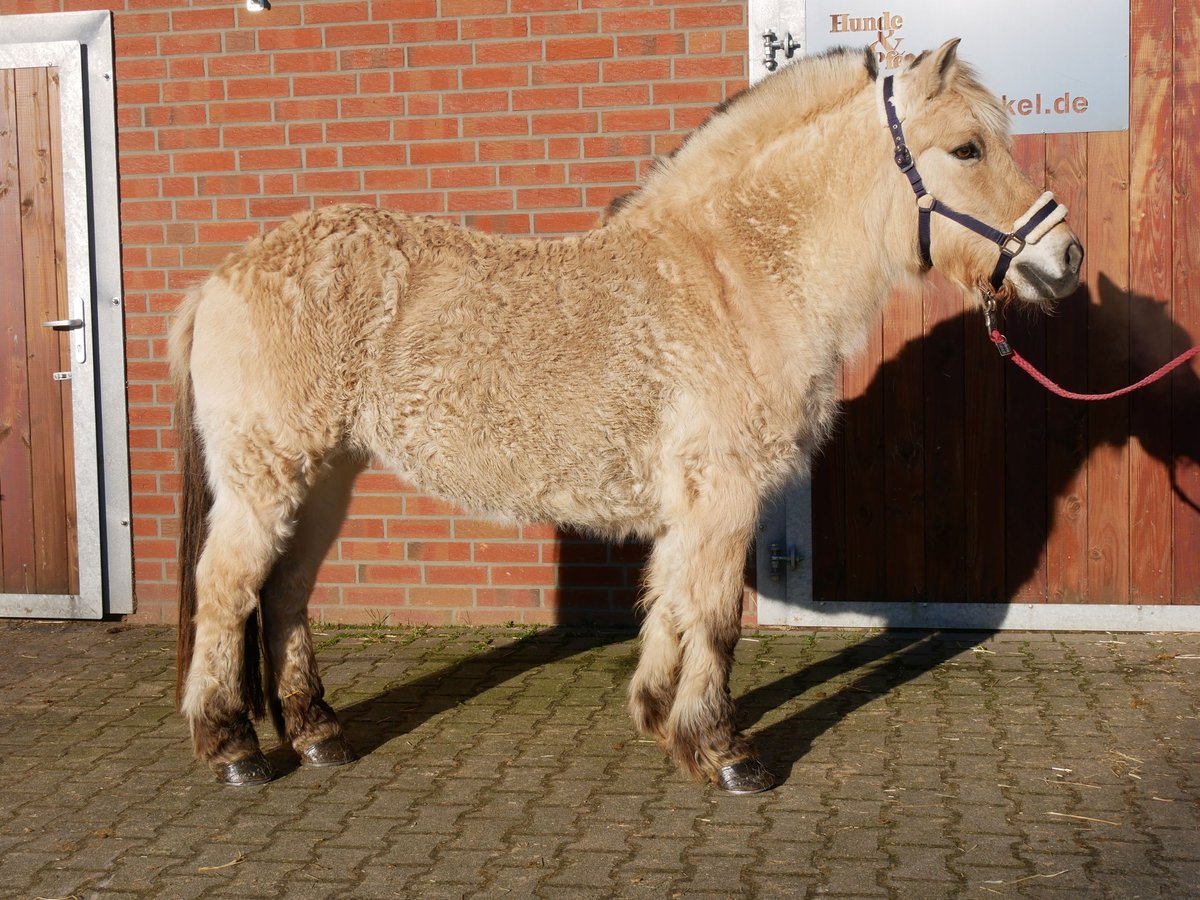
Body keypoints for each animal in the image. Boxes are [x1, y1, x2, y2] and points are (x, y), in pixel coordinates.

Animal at [171, 38, 1089, 792]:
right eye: (967, 148)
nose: (1066, 257)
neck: (737, 273)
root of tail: (221, 277)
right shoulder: (724, 492)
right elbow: (714, 617)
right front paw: (724, 752)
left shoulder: (693, 501)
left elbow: (671, 601)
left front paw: (656, 715)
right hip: (267, 477)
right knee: (227, 588)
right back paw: (232, 747)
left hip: (326, 476)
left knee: (286, 591)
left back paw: (318, 734)